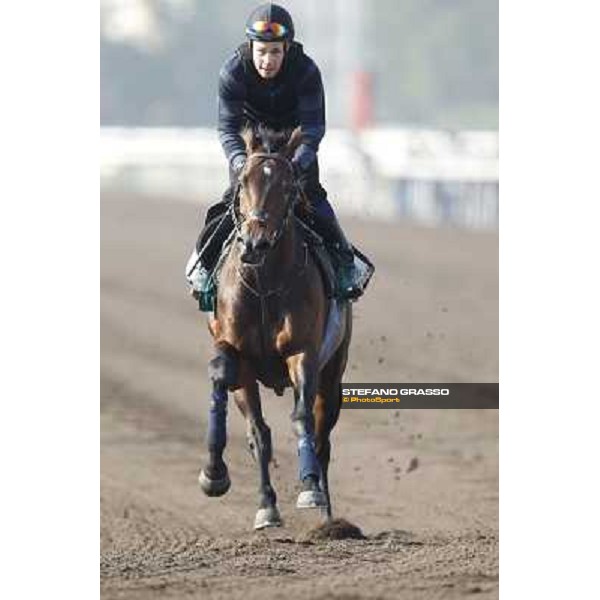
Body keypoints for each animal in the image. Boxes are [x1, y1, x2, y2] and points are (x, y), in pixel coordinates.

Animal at [199, 126, 354, 528]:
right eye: (243, 182)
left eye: (288, 186)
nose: (255, 242)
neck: (265, 284)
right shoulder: (238, 357)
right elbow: (256, 430)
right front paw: (217, 476)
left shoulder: (303, 352)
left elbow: (301, 419)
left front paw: (310, 489)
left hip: (333, 374)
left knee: (322, 435)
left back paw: (327, 516)